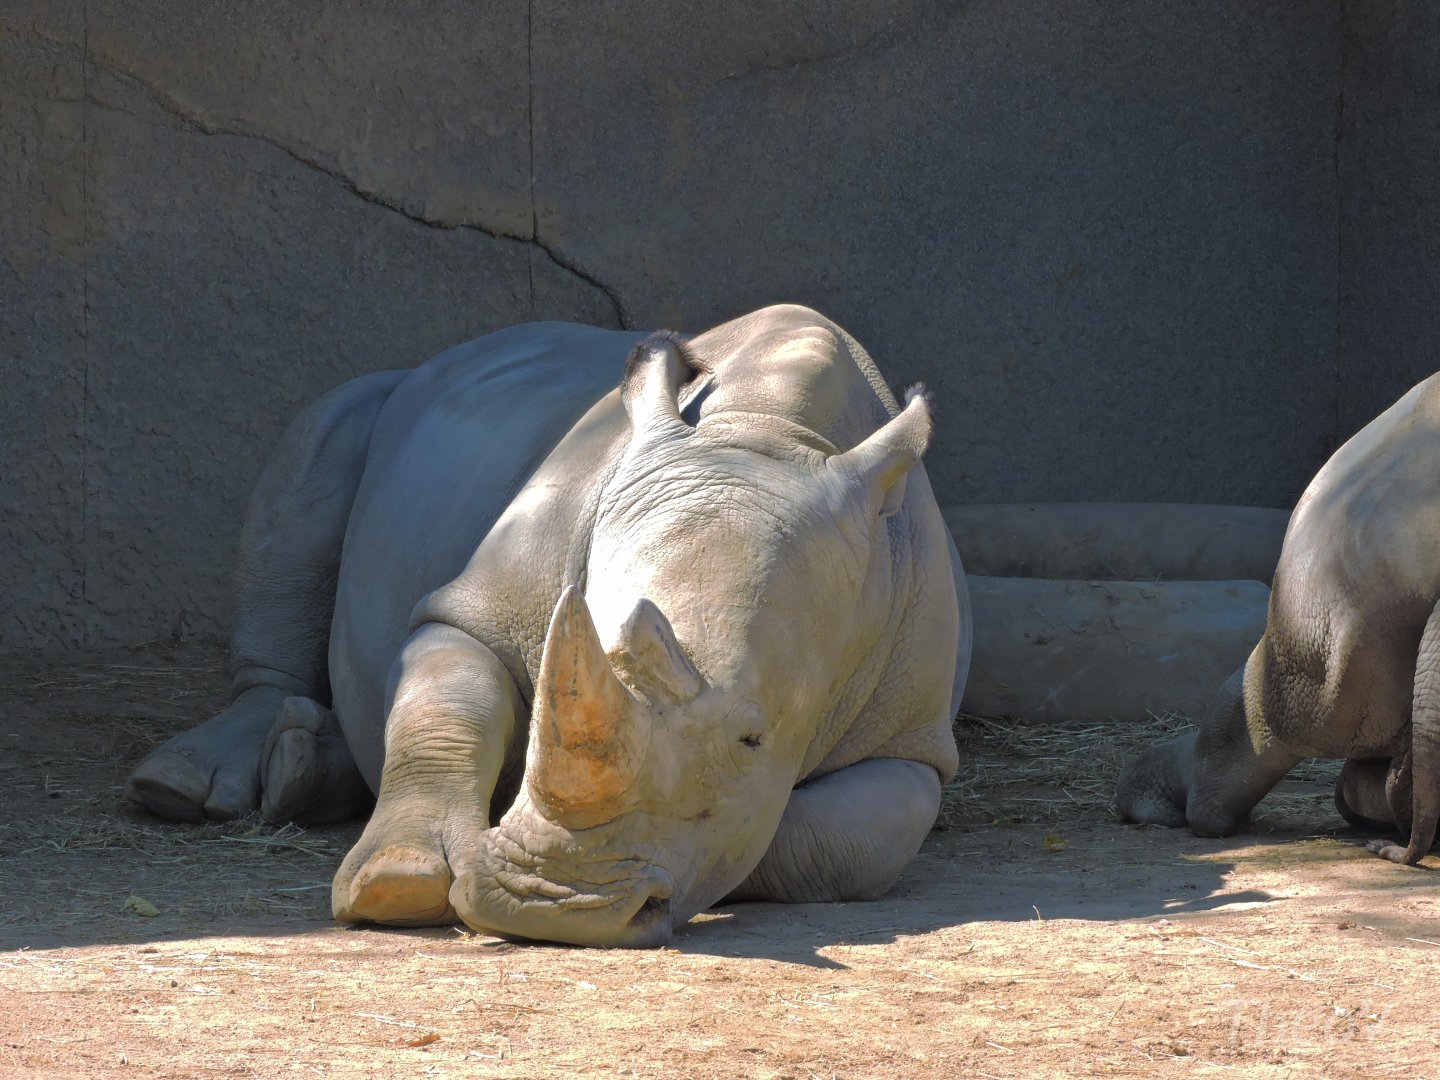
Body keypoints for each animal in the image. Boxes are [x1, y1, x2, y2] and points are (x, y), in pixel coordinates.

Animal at [125, 304, 970, 946]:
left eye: (754, 738)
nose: (547, 904)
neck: (768, 435)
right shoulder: (475, 611)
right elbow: (444, 712)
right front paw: (397, 885)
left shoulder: (914, 743)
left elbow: (827, 842)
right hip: (379, 402)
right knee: (321, 438)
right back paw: (185, 787)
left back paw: (302, 771)